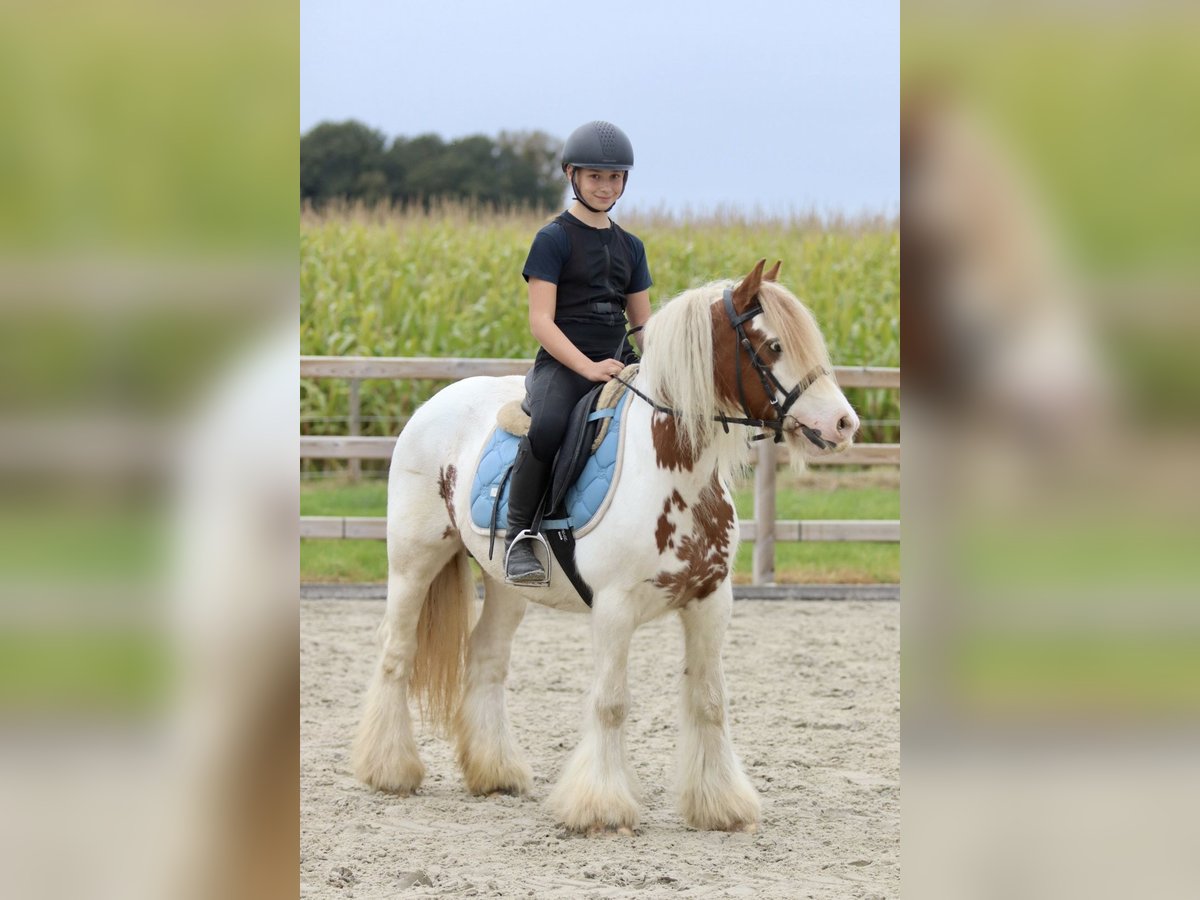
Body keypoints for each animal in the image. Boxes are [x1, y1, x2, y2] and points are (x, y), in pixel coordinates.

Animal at [350, 260, 859, 840]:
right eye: (772, 345)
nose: (844, 424)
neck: (673, 470)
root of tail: (432, 405)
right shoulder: (614, 609)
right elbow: (612, 704)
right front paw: (602, 809)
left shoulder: (711, 602)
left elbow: (709, 702)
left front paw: (720, 806)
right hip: (414, 563)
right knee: (396, 650)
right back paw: (389, 769)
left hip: (507, 586)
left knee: (486, 658)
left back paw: (495, 773)